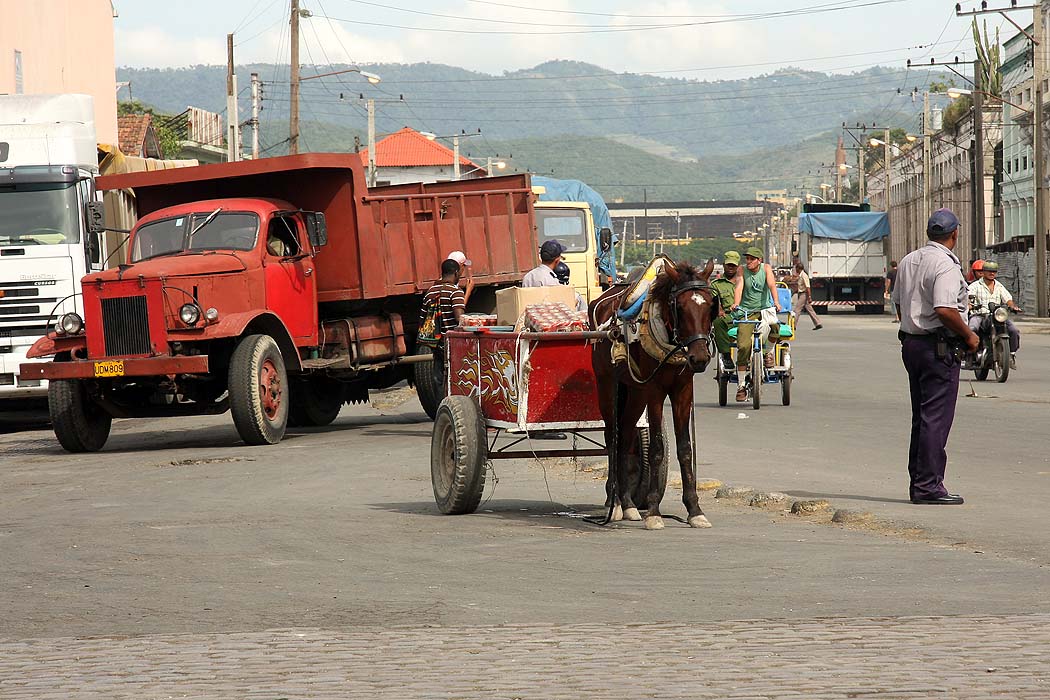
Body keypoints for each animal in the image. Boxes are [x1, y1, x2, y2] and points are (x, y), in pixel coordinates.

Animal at [592, 259, 713, 531]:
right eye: (680, 307)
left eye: (711, 304)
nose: (700, 358)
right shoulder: (655, 390)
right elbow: (656, 447)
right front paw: (654, 510)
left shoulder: (682, 389)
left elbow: (685, 448)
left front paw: (694, 509)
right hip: (607, 385)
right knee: (611, 436)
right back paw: (613, 502)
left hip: (635, 392)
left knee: (626, 436)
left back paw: (627, 503)